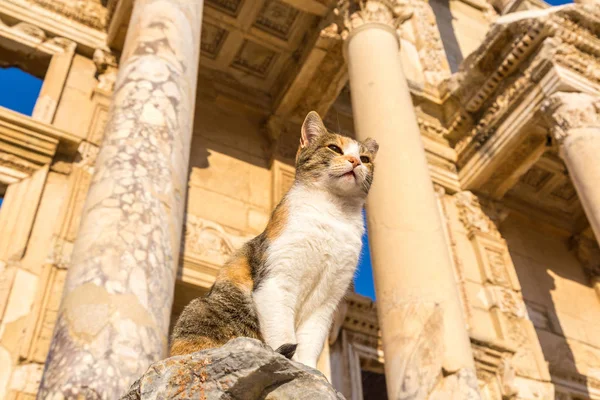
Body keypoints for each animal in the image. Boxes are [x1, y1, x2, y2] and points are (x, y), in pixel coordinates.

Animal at [169, 110, 378, 368]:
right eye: (334, 148)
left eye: (365, 158)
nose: (355, 162)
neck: (334, 214)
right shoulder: (276, 281)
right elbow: (283, 334)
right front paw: (291, 365)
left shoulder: (328, 300)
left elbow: (311, 343)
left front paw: (310, 369)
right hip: (200, 309)